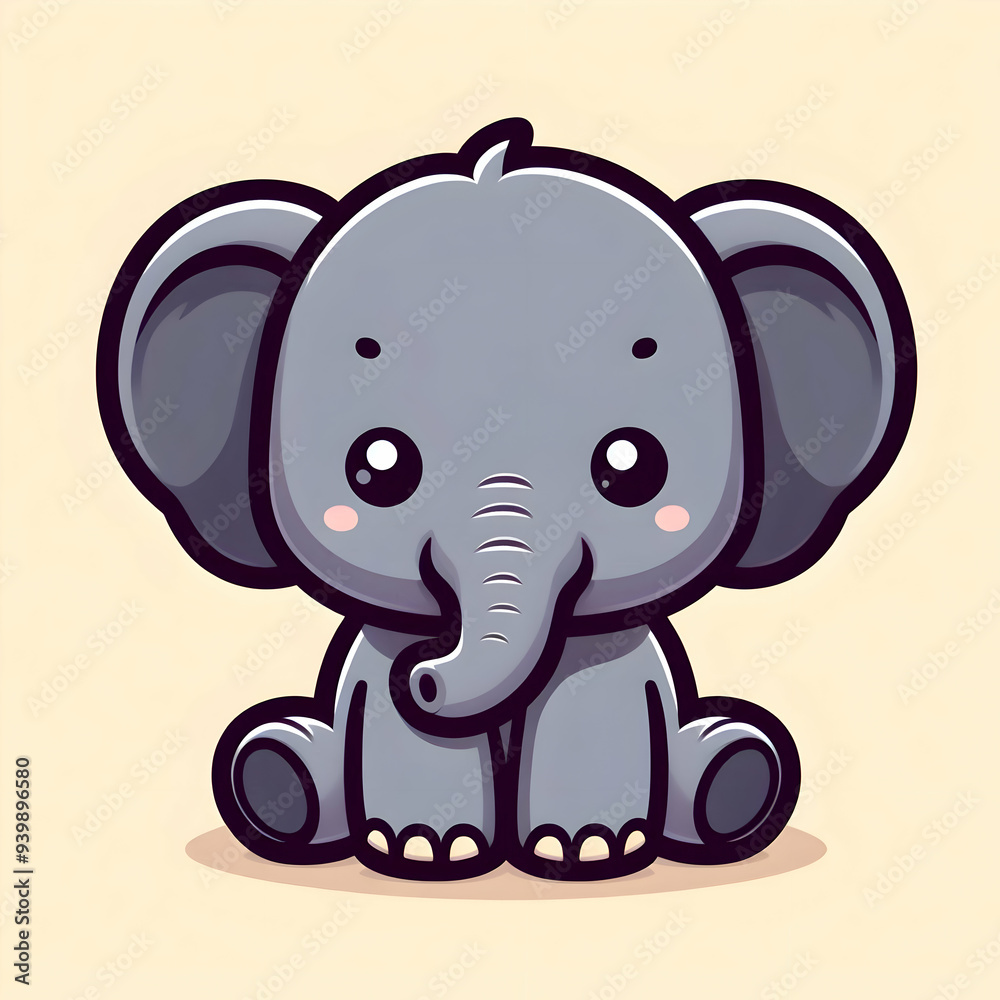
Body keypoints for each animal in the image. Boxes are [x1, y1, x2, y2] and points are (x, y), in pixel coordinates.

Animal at [96, 117, 915, 881]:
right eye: (376, 468)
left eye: (633, 467)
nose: (424, 674)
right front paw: (425, 851)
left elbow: (593, 705)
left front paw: (585, 851)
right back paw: (281, 780)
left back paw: (733, 782)